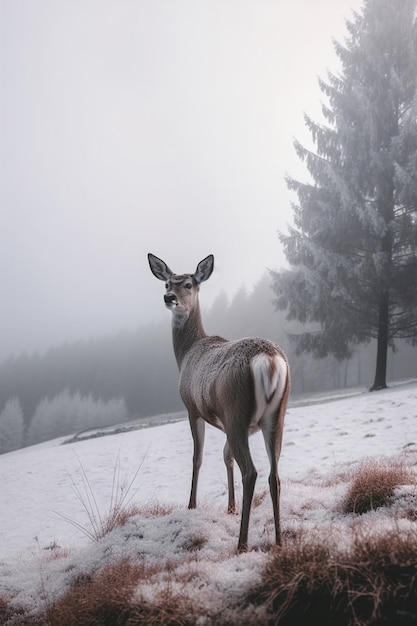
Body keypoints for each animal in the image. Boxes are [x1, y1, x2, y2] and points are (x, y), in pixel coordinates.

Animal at [149, 251, 290, 548]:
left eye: (188, 284)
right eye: (166, 283)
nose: (169, 298)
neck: (186, 354)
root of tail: (270, 362)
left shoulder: (192, 408)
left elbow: (198, 457)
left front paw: (191, 505)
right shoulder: (226, 423)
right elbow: (226, 457)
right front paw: (230, 507)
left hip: (236, 409)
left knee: (251, 472)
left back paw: (242, 543)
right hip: (275, 416)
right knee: (274, 475)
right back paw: (279, 541)